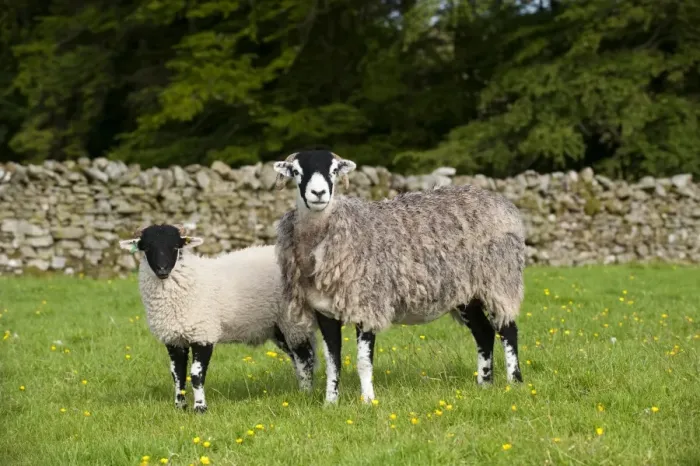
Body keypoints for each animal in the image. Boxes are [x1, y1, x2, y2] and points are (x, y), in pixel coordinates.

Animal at [118, 223, 316, 413]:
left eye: (175, 247)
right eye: (147, 247)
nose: (162, 270)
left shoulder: (203, 334)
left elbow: (196, 374)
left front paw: (200, 408)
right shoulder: (173, 339)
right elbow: (177, 374)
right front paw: (180, 407)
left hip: (293, 322)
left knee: (305, 357)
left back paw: (306, 392)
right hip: (278, 327)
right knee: (299, 357)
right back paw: (301, 389)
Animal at [272, 150, 526, 404]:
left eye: (334, 170)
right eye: (296, 171)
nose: (318, 193)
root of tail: (503, 203)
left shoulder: (368, 304)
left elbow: (363, 362)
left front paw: (368, 401)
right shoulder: (324, 311)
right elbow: (333, 362)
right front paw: (330, 403)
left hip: (499, 281)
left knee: (508, 329)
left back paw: (514, 382)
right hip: (467, 292)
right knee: (484, 333)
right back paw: (484, 384)